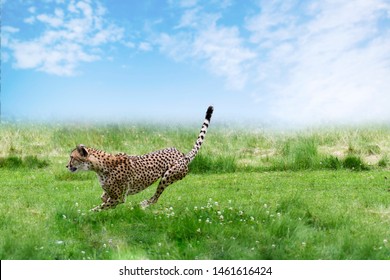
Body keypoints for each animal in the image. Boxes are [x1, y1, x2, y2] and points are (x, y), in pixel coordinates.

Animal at [66, 106, 213, 211]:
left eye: (72, 157)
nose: (67, 166)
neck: (99, 166)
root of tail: (182, 155)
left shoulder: (119, 198)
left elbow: (98, 209)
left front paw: (84, 216)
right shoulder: (112, 194)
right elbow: (103, 197)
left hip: (167, 176)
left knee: (155, 198)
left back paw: (143, 205)